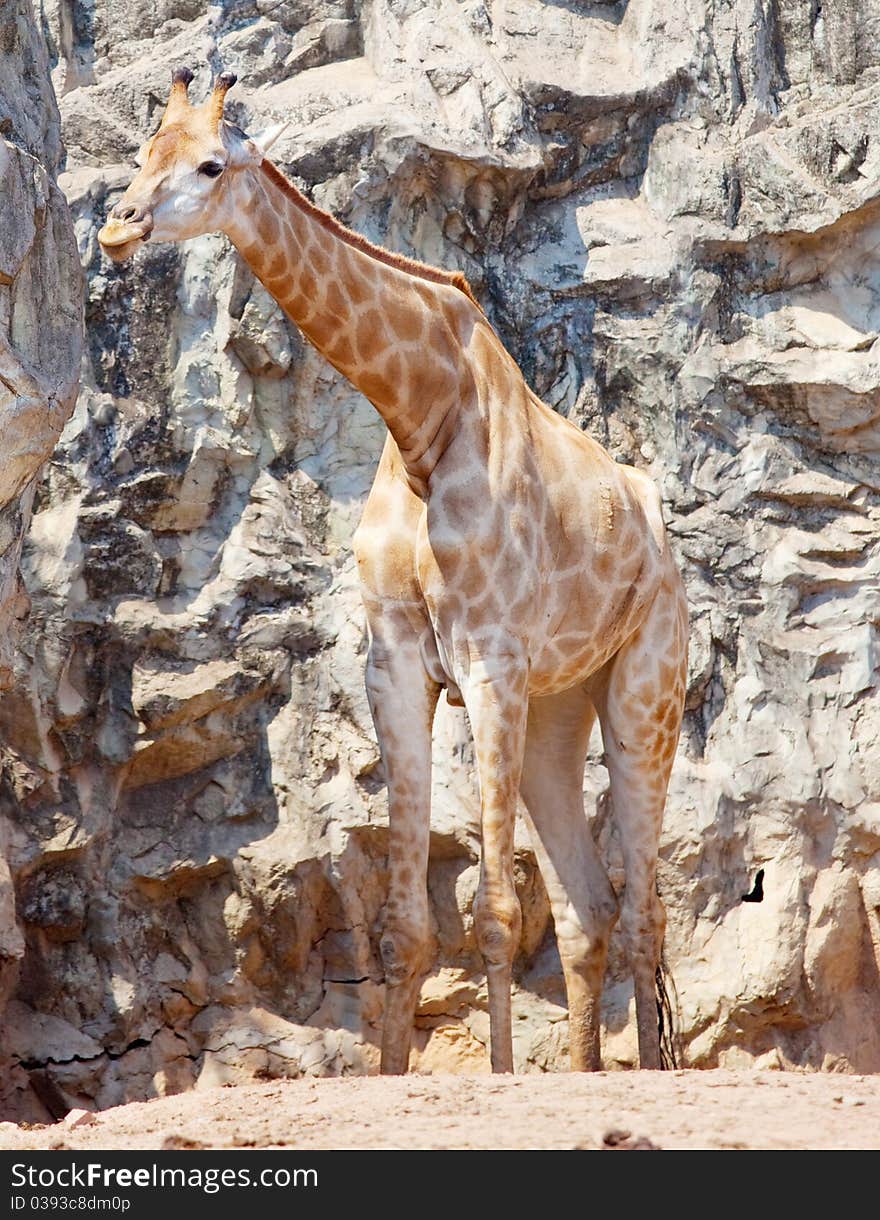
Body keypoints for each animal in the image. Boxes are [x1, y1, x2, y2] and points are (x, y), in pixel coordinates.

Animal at [97, 71, 688, 1073]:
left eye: (210, 164)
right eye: (143, 153)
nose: (117, 225)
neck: (420, 416)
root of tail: (662, 533)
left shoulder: (489, 660)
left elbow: (492, 911)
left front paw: (499, 1077)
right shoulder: (398, 661)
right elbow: (406, 926)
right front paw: (392, 1069)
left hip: (646, 692)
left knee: (644, 910)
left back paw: (638, 1075)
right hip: (559, 706)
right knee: (590, 906)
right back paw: (584, 1070)